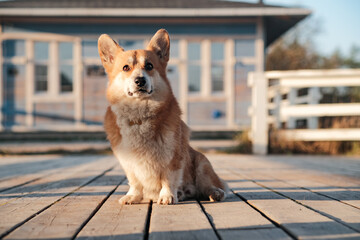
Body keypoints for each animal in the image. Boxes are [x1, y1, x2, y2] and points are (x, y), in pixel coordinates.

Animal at [98, 28, 228, 204]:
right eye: (126, 68)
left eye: (149, 66)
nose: (140, 80)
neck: (140, 115)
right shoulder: (129, 163)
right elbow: (135, 181)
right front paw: (133, 196)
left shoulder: (172, 157)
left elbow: (168, 178)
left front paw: (167, 196)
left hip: (202, 164)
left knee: (210, 185)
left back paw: (214, 193)